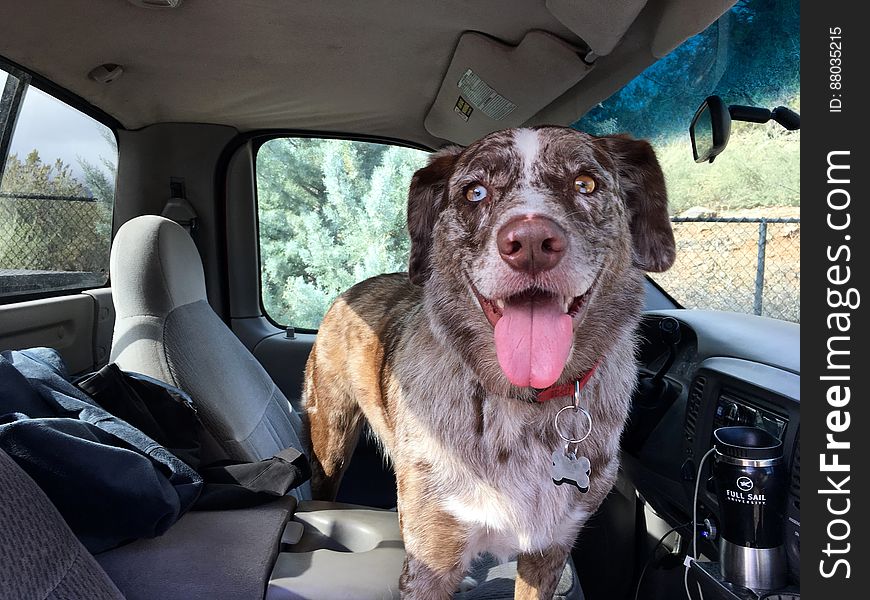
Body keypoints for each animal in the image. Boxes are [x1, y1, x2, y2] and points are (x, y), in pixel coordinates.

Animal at [304, 126, 676, 600]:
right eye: (474, 192)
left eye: (586, 183)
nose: (531, 244)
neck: (526, 404)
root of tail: (349, 291)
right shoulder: (430, 559)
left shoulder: (549, 550)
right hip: (330, 439)